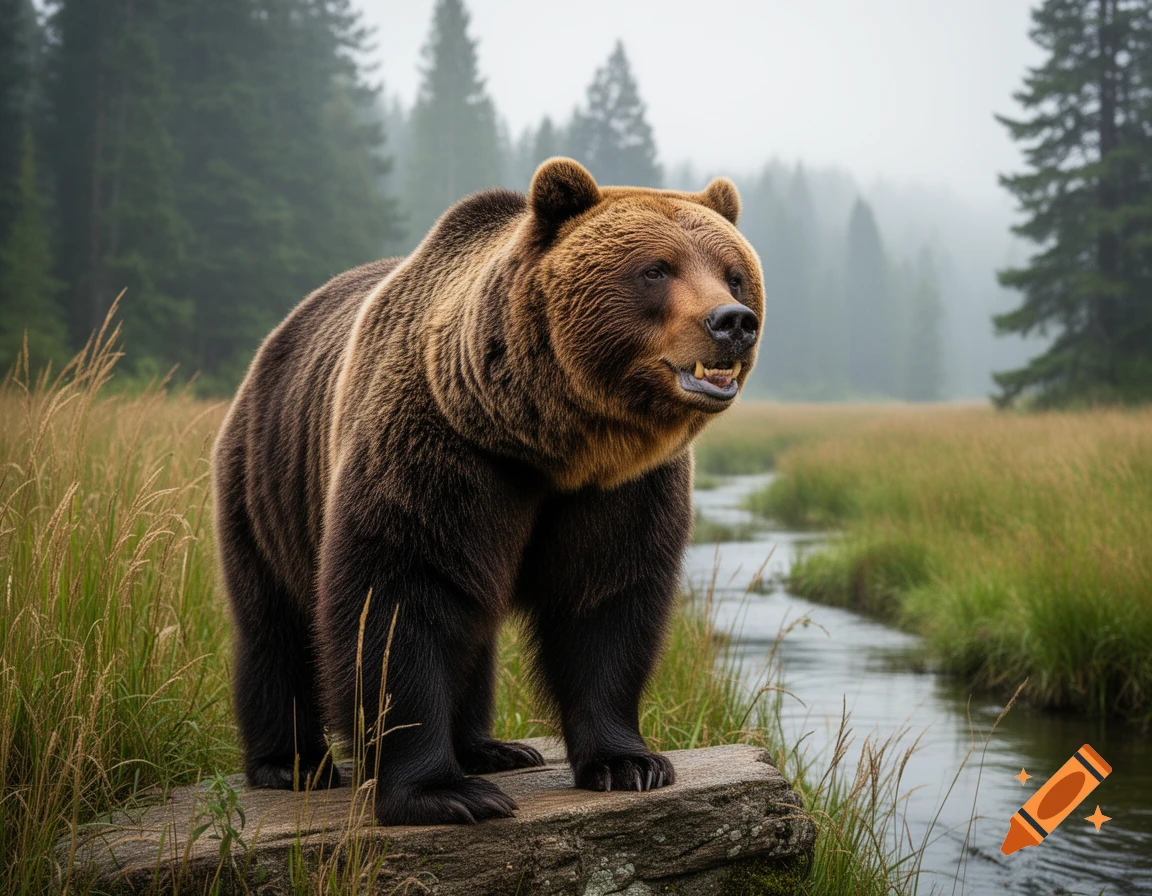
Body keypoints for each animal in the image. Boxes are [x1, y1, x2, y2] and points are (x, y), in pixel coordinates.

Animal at [211, 158, 763, 826]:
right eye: (656, 269)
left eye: (735, 274)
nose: (732, 321)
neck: (550, 443)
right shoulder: (443, 449)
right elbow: (399, 598)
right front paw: (443, 793)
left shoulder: (622, 486)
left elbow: (607, 603)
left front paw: (629, 763)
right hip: (268, 483)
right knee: (274, 623)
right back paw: (291, 764)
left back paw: (492, 749)